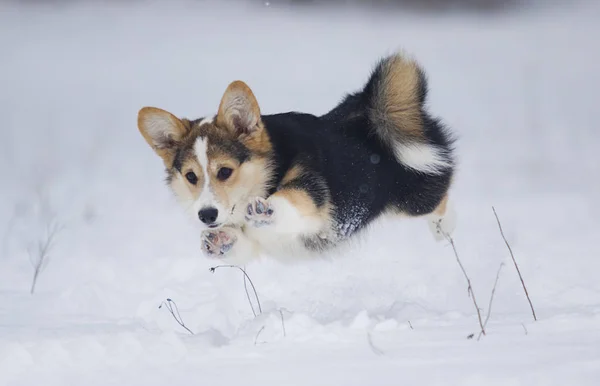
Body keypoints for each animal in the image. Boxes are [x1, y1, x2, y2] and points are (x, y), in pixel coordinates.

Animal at [137, 52, 454, 264]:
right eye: (191, 176)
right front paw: (217, 240)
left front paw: (266, 209)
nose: (206, 216)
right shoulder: (254, 243)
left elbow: (292, 200)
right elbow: (241, 245)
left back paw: (444, 231)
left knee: (440, 198)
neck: (267, 171)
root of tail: (372, 110)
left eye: (225, 171)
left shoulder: (312, 195)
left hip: (415, 194)